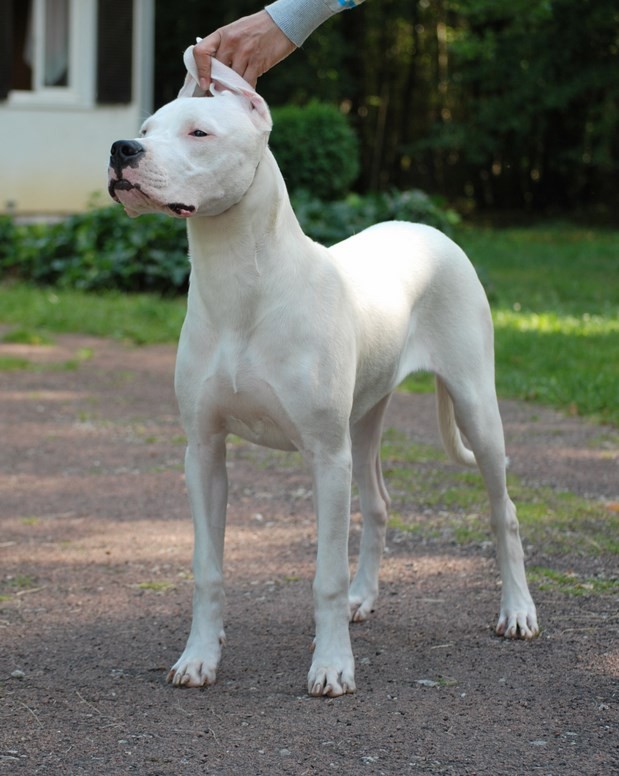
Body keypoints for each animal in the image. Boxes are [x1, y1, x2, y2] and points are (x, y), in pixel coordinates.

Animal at [107, 47, 538, 696]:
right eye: (146, 128)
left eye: (199, 132)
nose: (121, 149)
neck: (241, 286)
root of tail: (427, 228)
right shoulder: (203, 451)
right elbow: (208, 569)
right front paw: (199, 658)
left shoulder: (324, 456)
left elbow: (324, 576)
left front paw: (332, 666)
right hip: (364, 418)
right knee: (379, 502)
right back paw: (364, 597)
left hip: (474, 406)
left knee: (503, 510)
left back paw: (517, 611)